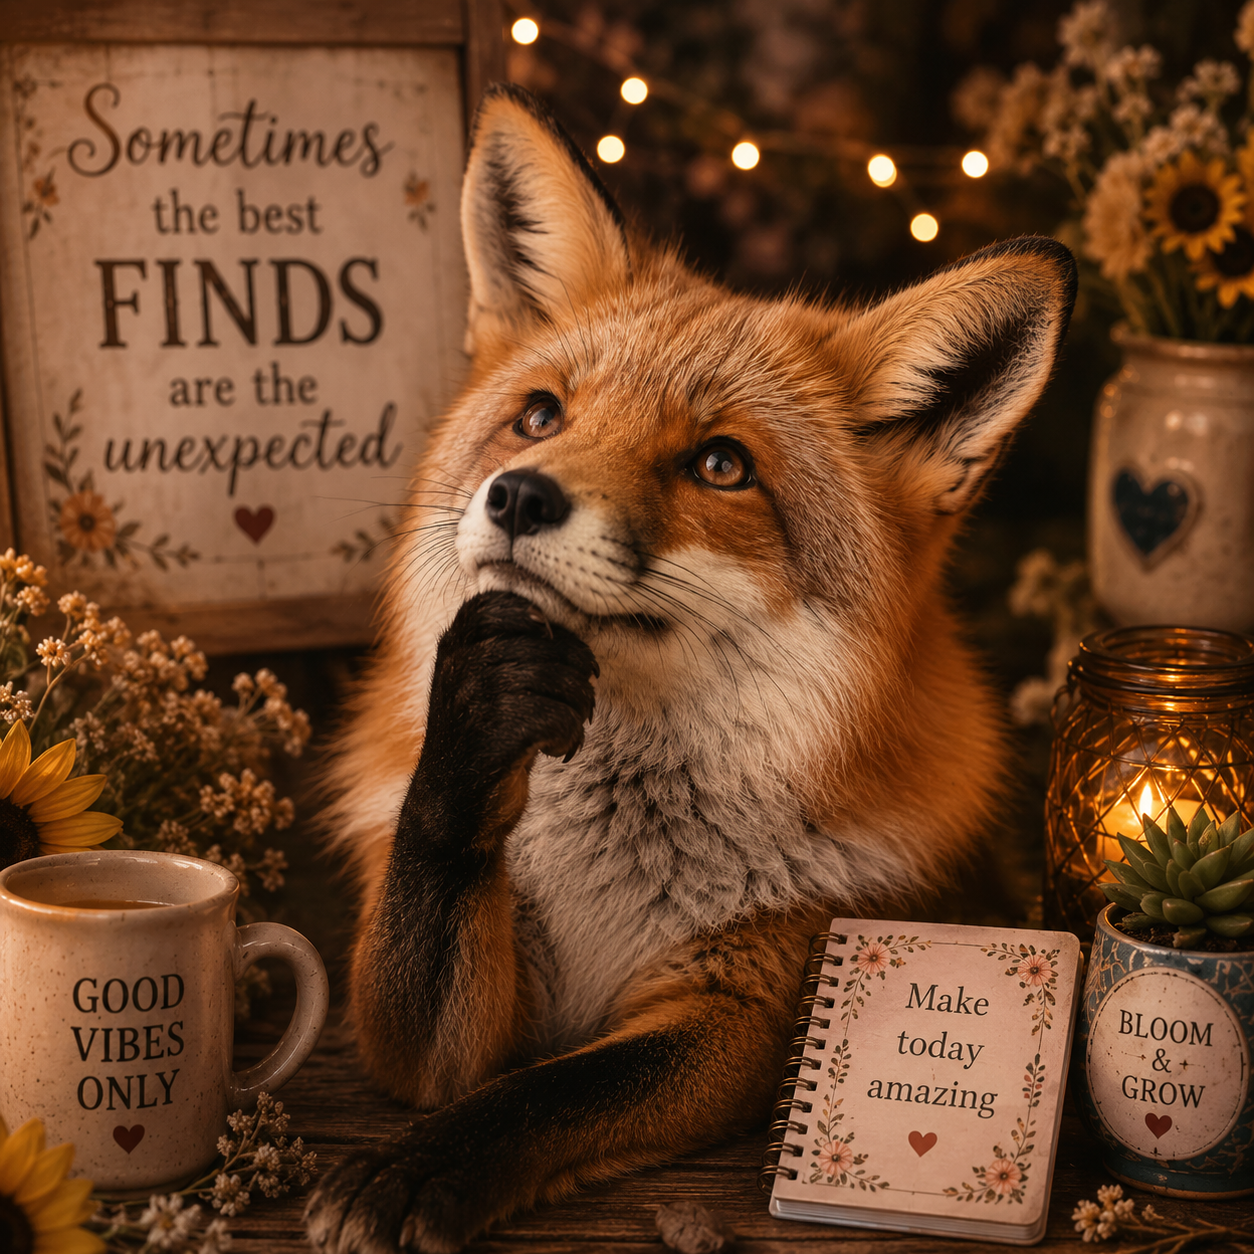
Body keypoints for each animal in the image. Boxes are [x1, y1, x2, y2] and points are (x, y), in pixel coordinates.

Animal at [304, 83, 1076, 1254]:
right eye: (541, 415)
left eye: (721, 465)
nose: (520, 497)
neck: (613, 856)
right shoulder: (427, 1025)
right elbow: (433, 934)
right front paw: (482, 707)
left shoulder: (749, 1000)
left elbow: (545, 1095)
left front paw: (418, 1171)